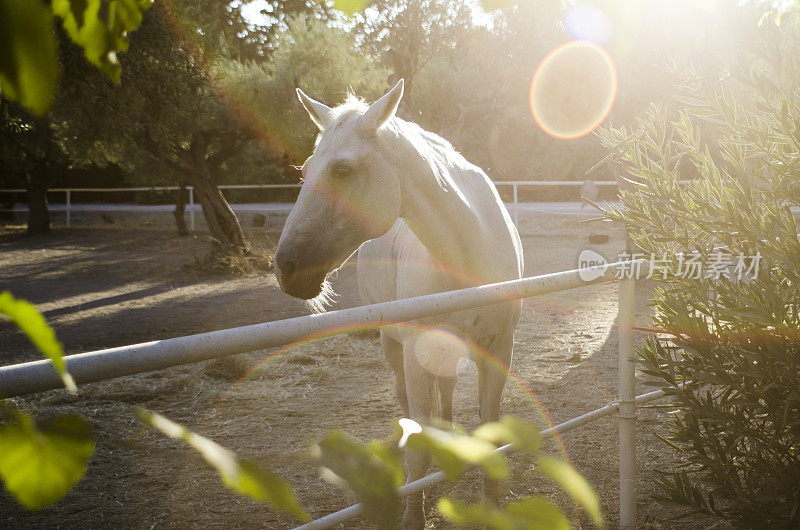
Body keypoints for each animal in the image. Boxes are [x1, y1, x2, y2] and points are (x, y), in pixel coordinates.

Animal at [276, 80, 524, 524]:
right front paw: (413, 516)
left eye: (341, 170)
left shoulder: (499, 348)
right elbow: (419, 454)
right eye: (304, 172)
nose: (286, 268)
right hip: (394, 345)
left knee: (446, 387)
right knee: (406, 399)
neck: (468, 252)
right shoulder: (415, 352)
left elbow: (490, 431)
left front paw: (491, 506)